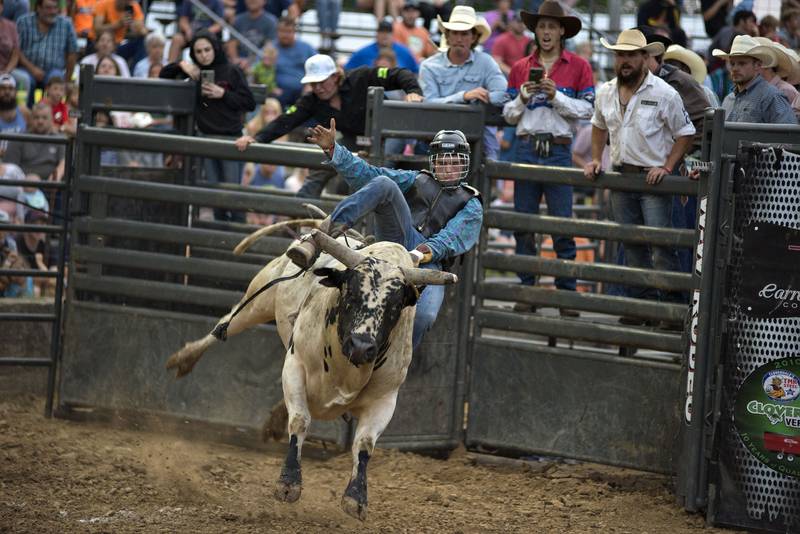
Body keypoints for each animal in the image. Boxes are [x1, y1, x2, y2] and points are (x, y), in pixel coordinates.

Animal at [162, 219, 456, 524]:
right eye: (350, 292)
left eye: (396, 305)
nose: (361, 346)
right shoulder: (295, 366)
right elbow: (301, 421)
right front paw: (288, 482)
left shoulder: (385, 398)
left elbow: (363, 444)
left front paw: (356, 498)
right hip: (260, 298)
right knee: (225, 324)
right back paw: (185, 358)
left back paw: (275, 419)